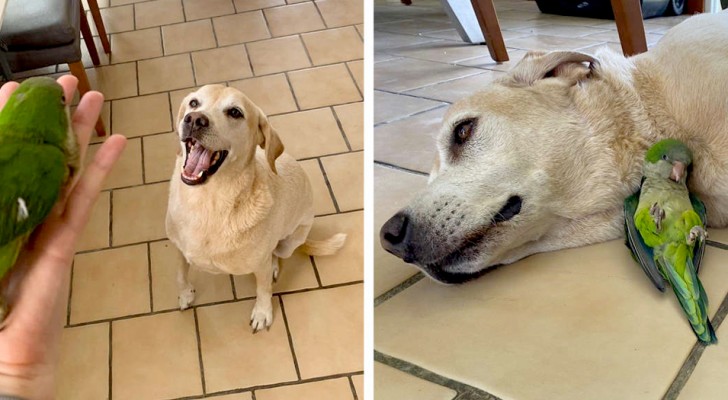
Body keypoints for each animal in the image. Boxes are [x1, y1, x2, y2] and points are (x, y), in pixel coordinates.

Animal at [166, 84, 346, 332]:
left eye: (235, 112)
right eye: (194, 103)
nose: (194, 119)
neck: (208, 203)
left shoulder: (260, 266)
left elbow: (263, 289)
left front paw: (262, 313)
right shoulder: (179, 249)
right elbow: (180, 273)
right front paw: (185, 294)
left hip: (290, 241)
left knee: (276, 254)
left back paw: (274, 266)